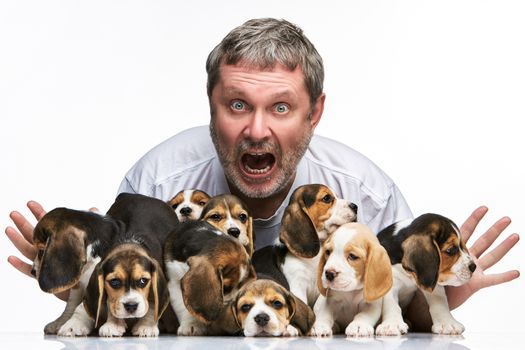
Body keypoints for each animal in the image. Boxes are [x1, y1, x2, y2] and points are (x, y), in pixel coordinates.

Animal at [56, 193, 177, 338]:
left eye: (143, 281)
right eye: (114, 282)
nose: (131, 306)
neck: (129, 242)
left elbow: (153, 301)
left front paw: (146, 326)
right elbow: (110, 300)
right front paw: (113, 324)